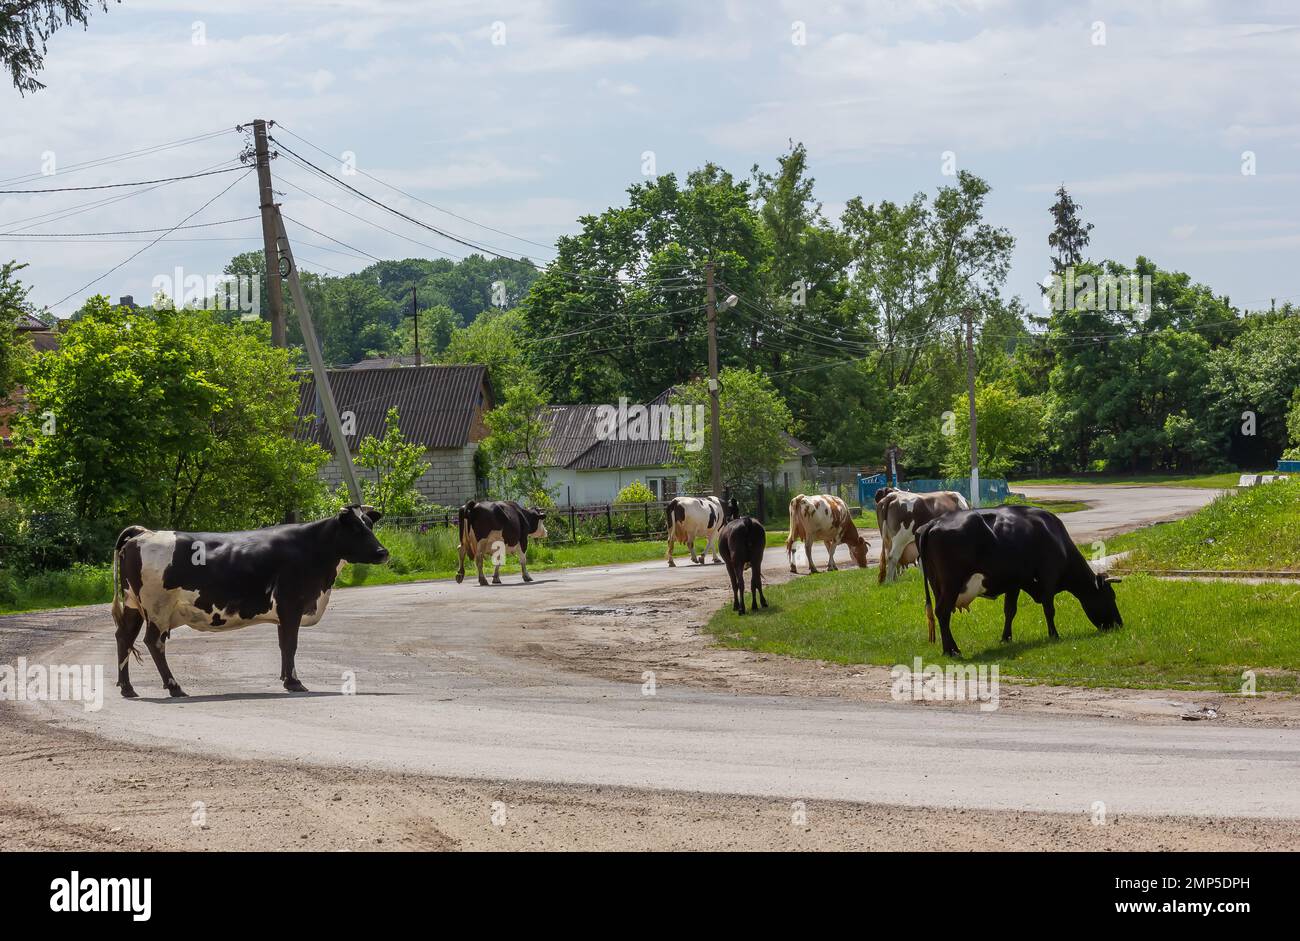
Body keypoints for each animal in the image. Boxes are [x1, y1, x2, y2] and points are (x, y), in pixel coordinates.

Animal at [111, 505, 389, 698]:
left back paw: (127, 688)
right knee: (153, 642)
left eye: (369, 525)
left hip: (134, 605)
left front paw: (286, 680)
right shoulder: (291, 604)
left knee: (124, 637)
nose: (383, 552)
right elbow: (291, 644)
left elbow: (283, 645)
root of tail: (143, 533)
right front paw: (295, 682)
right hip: (158, 608)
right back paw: (174, 687)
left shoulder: (284, 611)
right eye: (356, 529)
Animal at [915, 504, 1123, 658]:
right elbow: (1049, 609)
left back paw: (951, 648)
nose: (1119, 624)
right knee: (943, 611)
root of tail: (934, 522)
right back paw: (951, 651)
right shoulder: (1049, 576)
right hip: (951, 583)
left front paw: (1006, 638)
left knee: (942, 613)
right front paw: (1054, 635)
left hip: (937, 585)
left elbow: (1010, 610)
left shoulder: (1014, 583)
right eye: (1110, 596)